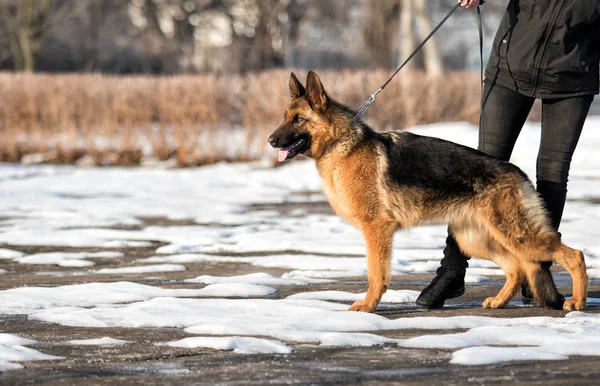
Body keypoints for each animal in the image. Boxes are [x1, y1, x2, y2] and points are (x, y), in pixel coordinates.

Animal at [270, 71, 588, 314]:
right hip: (476, 240)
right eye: (285, 117)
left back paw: (577, 302)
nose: (270, 140)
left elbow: (376, 274)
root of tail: (517, 173)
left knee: (574, 255)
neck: (340, 143)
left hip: (516, 236)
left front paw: (369, 306)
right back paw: (499, 302)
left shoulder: (377, 229)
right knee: (517, 269)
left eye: (298, 119)